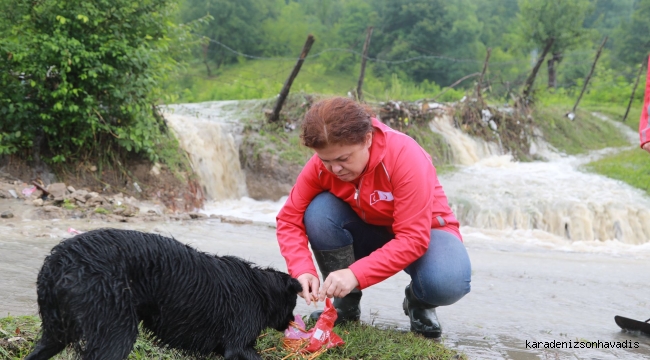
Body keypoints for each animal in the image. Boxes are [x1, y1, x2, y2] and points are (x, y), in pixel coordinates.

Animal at [24, 229, 300, 358]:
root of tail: (59, 262)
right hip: (116, 332)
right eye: (294, 303)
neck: (260, 290)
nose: (292, 322)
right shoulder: (237, 345)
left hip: (55, 333)